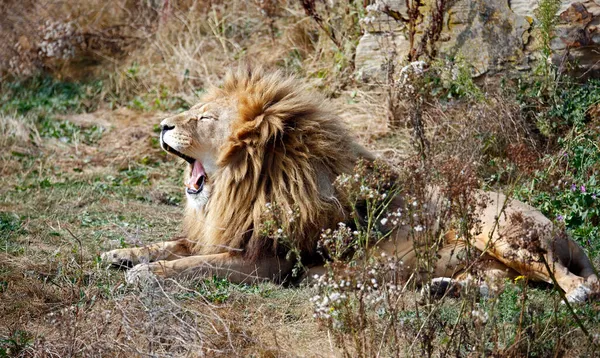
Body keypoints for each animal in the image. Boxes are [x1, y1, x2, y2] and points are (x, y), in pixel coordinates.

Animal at [101, 65, 596, 300]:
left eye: (204, 118)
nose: (162, 126)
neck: (240, 189)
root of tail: (563, 231)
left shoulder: (267, 264)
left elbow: (194, 266)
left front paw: (146, 275)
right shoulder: (218, 234)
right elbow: (172, 246)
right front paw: (121, 254)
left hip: (498, 230)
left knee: (571, 281)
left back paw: (577, 295)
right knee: (504, 285)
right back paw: (443, 288)